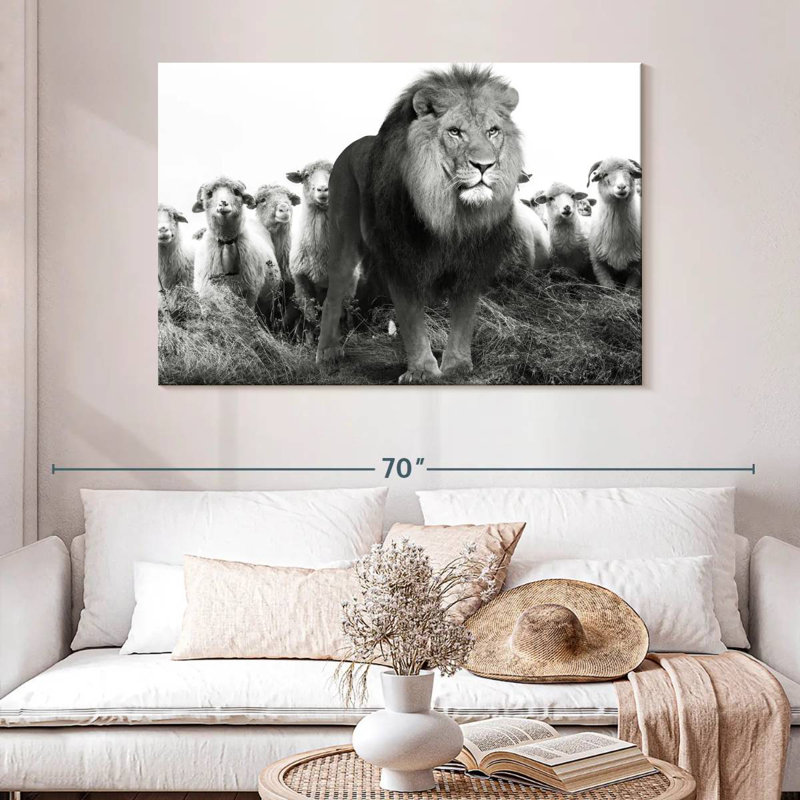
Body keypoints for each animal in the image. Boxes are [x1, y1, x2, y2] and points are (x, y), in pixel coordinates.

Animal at [191, 176, 280, 309]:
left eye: (236, 192)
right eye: (209, 194)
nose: (223, 203)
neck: (227, 241)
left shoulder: (251, 292)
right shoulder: (206, 295)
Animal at [317, 65, 526, 383]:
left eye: (493, 131)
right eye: (455, 132)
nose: (485, 166)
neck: (451, 215)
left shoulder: (471, 263)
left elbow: (464, 317)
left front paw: (457, 367)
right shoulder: (401, 260)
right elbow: (412, 319)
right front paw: (423, 371)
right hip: (344, 240)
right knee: (334, 294)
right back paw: (327, 353)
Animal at [586, 158, 642, 290]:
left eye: (631, 173)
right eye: (604, 174)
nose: (621, 187)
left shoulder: (637, 266)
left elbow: (629, 290)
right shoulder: (598, 263)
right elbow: (609, 288)